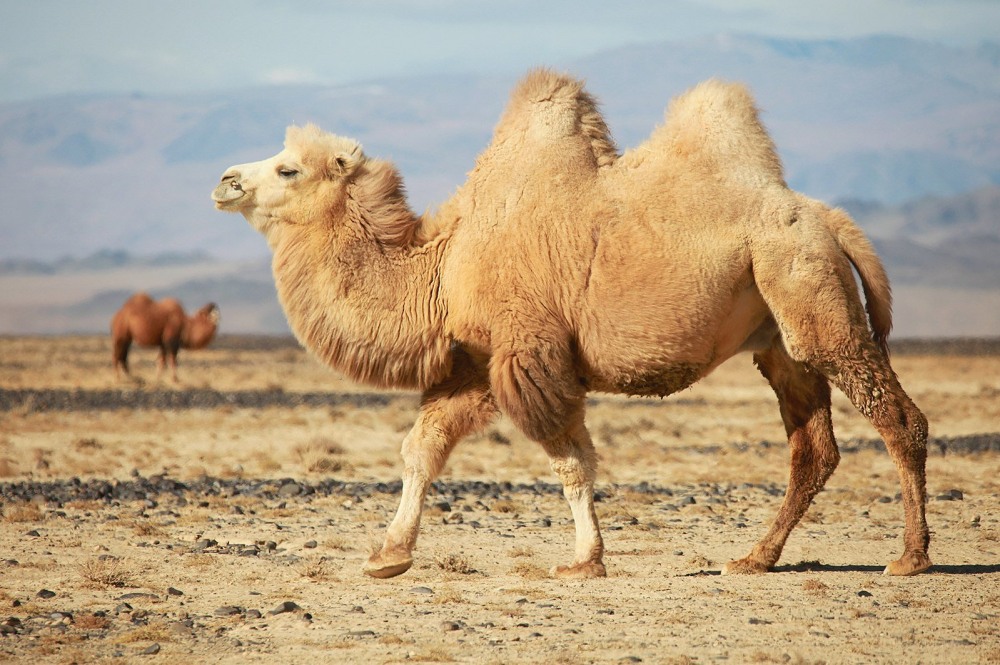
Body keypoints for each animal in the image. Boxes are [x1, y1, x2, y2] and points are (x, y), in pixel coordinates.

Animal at [212, 69, 930, 580]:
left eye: (287, 167)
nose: (225, 180)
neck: (443, 266)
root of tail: (828, 218)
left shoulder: (529, 352)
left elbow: (570, 460)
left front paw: (585, 561)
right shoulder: (476, 361)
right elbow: (422, 449)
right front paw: (388, 555)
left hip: (811, 294)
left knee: (898, 418)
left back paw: (910, 557)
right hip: (780, 334)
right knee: (813, 448)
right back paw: (754, 557)